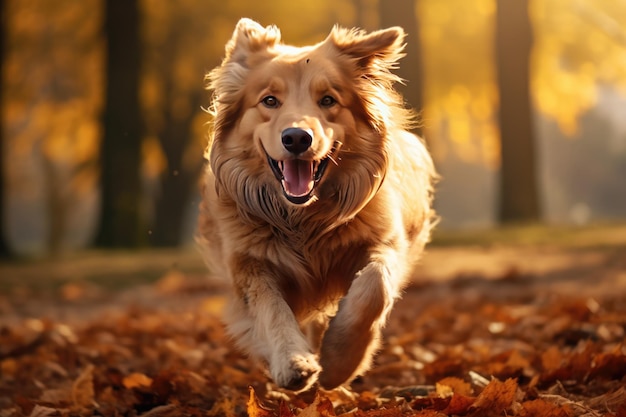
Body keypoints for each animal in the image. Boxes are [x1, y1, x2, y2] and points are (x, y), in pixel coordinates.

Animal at [197, 17, 436, 392]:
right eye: (269, 100)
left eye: (327, 100)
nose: (297, 138)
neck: (303, 219)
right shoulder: (249, 264)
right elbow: (272, 310)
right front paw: (293, 362)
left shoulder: (385, 242)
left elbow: (374, 287)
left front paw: (339, 360)